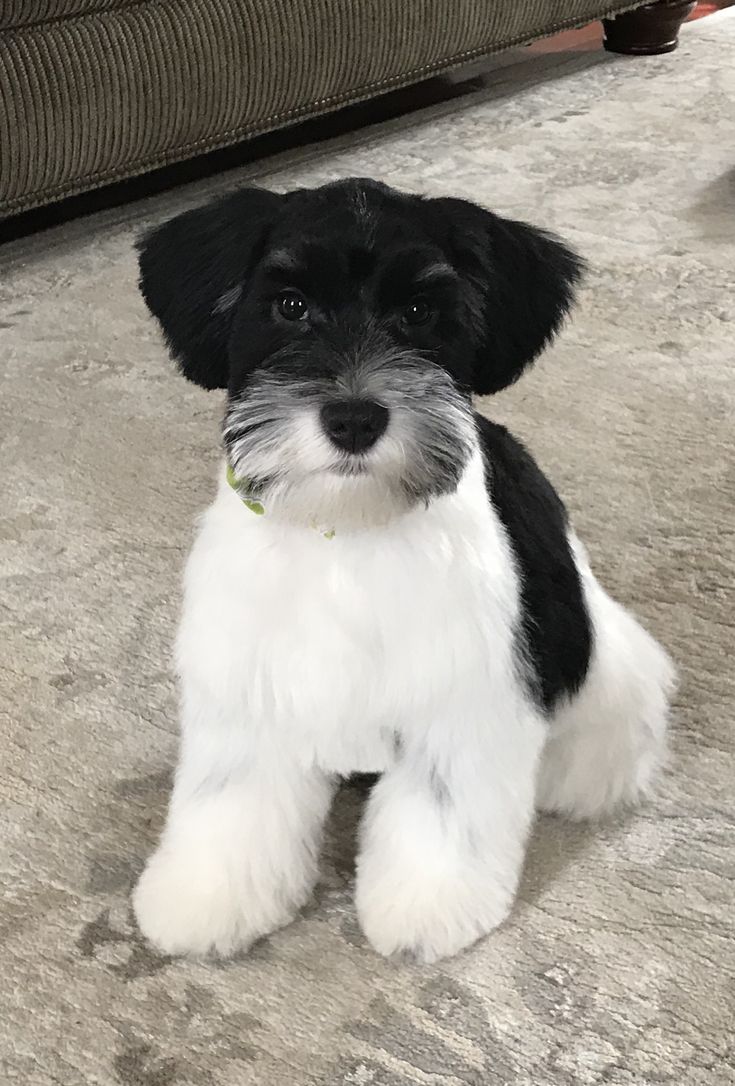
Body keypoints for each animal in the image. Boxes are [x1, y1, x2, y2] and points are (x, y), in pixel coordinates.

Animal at [130, 180, 668, 968]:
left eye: (418, 312)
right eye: (289, 304)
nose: (354, 417)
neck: (346, 530)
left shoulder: (461, 699)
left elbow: (441, 812)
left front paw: (426, 908)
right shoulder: (250, 691)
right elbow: (230, 800)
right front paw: (206, 896)